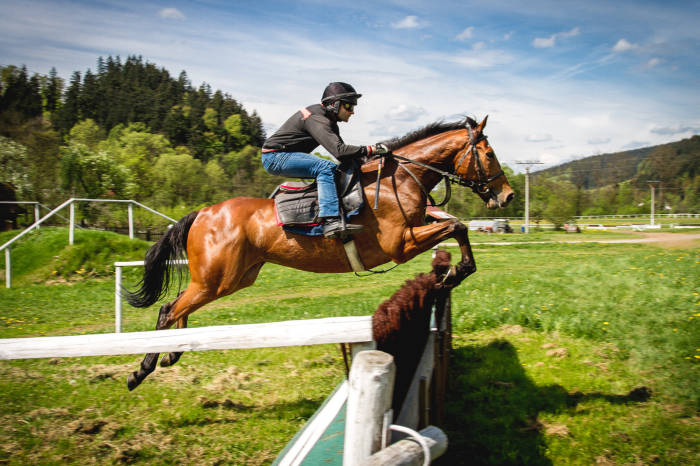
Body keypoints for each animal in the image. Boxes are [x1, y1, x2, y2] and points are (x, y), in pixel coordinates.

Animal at [124, 116, 516, 390]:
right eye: (489, 154)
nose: (508, 195)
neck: (401, 178)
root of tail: (202, 213)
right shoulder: (401, 244)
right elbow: (456, 226)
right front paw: (455, 273)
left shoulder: (419, 226)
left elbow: (457, 225)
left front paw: (456, 271)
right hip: (216, 278)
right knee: (168, 308)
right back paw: (142, 369)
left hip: (230, 278)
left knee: (179, 305)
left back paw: (174, 350)